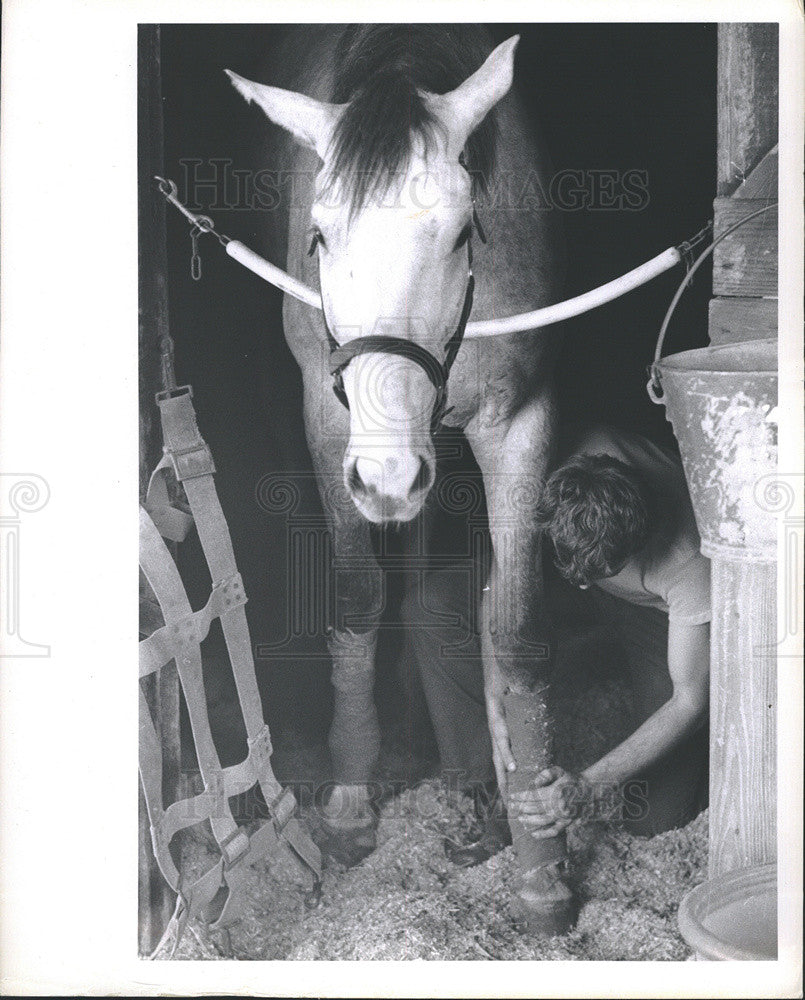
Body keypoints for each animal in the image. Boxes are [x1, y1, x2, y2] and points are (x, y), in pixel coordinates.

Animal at [228, 23, 572, 928]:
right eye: (319, 238)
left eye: (459, 233)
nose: (386, 475)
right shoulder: (329, 424)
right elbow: (357, 599)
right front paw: (350, 803)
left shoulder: (520, 422)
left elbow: (515, 631)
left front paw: (541, 860)